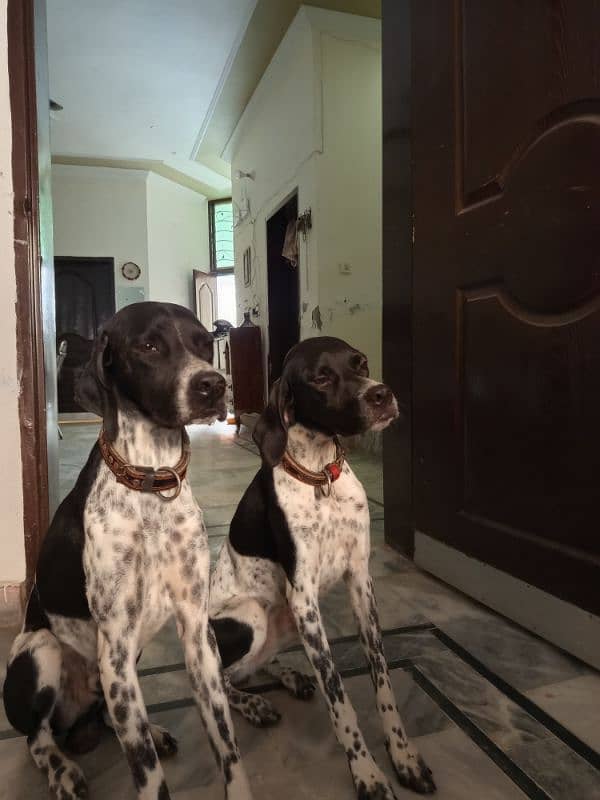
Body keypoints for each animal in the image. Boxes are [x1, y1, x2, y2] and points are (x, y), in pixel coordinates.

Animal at [2, 304, 251, 800]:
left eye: (202, 342)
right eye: (149, 345)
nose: (214, 384)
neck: (151, 480)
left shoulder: (197, 633)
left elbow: (225, 742)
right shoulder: (115, 644)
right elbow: (148, 774)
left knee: (111, 719)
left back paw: (148, 730)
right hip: (43, 650)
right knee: (37, 737)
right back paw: (63, 770)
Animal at [211, 338, 436, 800]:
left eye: (360, 363)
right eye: (319, 378)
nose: (381, 394)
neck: (320, 476)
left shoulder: (360, 583)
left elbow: (382, 679)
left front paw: (402, 755)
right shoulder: (305, 601)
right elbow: (340, 700)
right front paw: (367, 773)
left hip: (283, 623)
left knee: (254, 665)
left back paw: (288, 677)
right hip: (253, 616)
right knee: (220, 682)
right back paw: (253, 704)